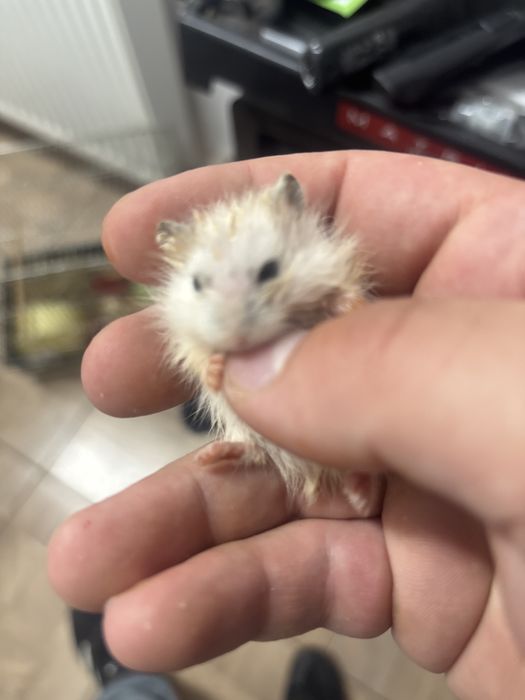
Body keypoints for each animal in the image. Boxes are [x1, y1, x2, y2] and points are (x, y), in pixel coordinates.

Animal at [155, 173, 382, 515]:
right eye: (196, 284)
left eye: (270, 270)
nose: (237, 341)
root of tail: (313, 470)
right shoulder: (185, 337)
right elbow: (201, 357)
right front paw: (216, 370)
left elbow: (340, 295)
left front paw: (349, 306)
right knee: (255, 452)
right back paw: (211, 456)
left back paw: (361, 499)